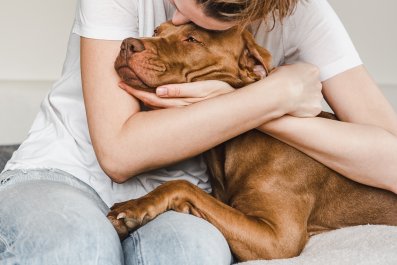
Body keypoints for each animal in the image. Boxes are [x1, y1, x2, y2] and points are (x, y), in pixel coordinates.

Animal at [108, 22, 396, 260]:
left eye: (192, 39)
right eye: (157, 30)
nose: (127, 44)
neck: (229, 146)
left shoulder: (278, 239)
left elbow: (183, 185)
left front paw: (134, 207)